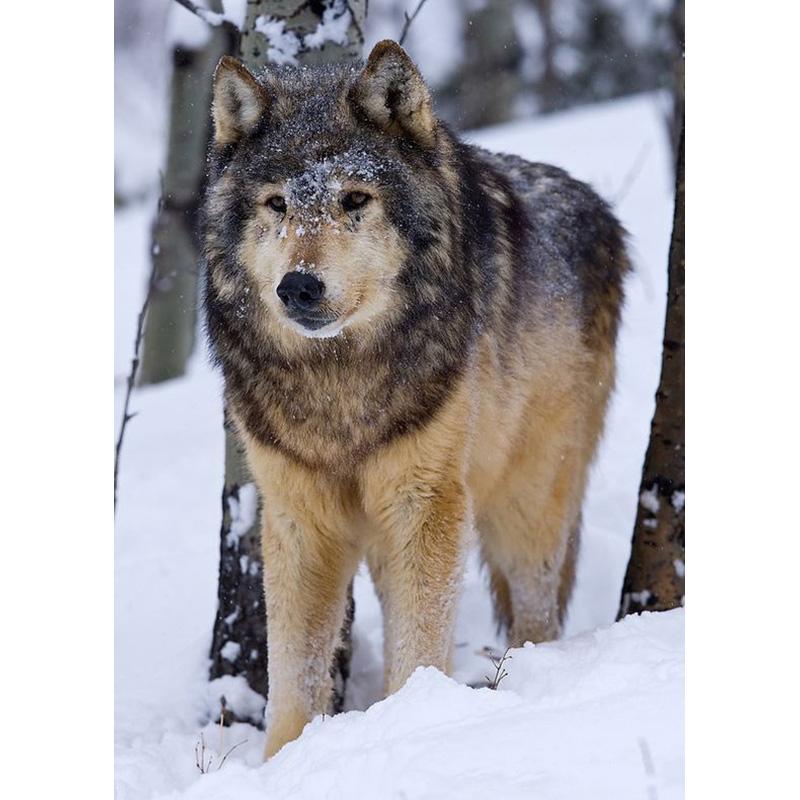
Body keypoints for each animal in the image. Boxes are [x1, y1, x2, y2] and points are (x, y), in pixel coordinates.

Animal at [202, 40, 629, 758]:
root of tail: (600, 211)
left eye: (355, 198)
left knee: (537, 610)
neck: (339, 382)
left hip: (527, 505)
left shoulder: (426, 499)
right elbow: (294, 669)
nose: (298, 287)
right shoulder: (298, 516)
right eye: (276, 204)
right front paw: (283, 761)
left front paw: (414, 725)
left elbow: (421, 639)